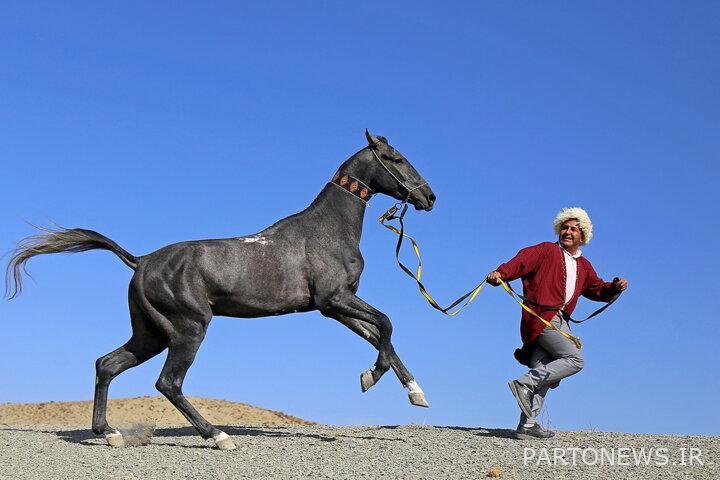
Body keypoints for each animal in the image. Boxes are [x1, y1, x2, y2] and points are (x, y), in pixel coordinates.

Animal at [5, 128, 436, 450]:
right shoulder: (334, 299)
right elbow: (387, 324)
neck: (327, 230)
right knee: (168, 383)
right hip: (189, 328)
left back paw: (109, 433)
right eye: (396, 159)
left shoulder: (333, 307)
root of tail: (141, 261)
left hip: (151, 334)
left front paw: (414, 392)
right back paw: (217, 435)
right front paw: (371, 377)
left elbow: (379, 335)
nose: (429, 197)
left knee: (107, 364)